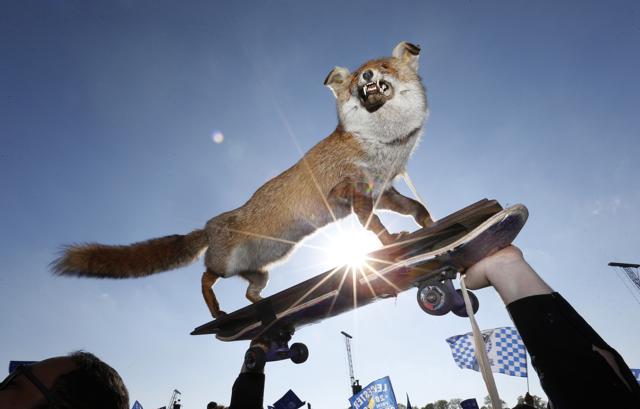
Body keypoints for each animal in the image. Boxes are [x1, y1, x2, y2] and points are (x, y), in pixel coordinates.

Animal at [52, 41, 433, 318]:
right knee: (204, 276)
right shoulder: (347, 190)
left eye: (385, 67)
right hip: (225, 264)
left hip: (259, 273)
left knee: (250, 291)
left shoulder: (382, 189)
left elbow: (415, 208)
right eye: (355, 80)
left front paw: (427, 224)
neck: (381, 145)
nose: (367, 75)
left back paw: (261, 307)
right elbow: (373, 227)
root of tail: (208, 226)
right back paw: (217, 311)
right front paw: (391, 240)